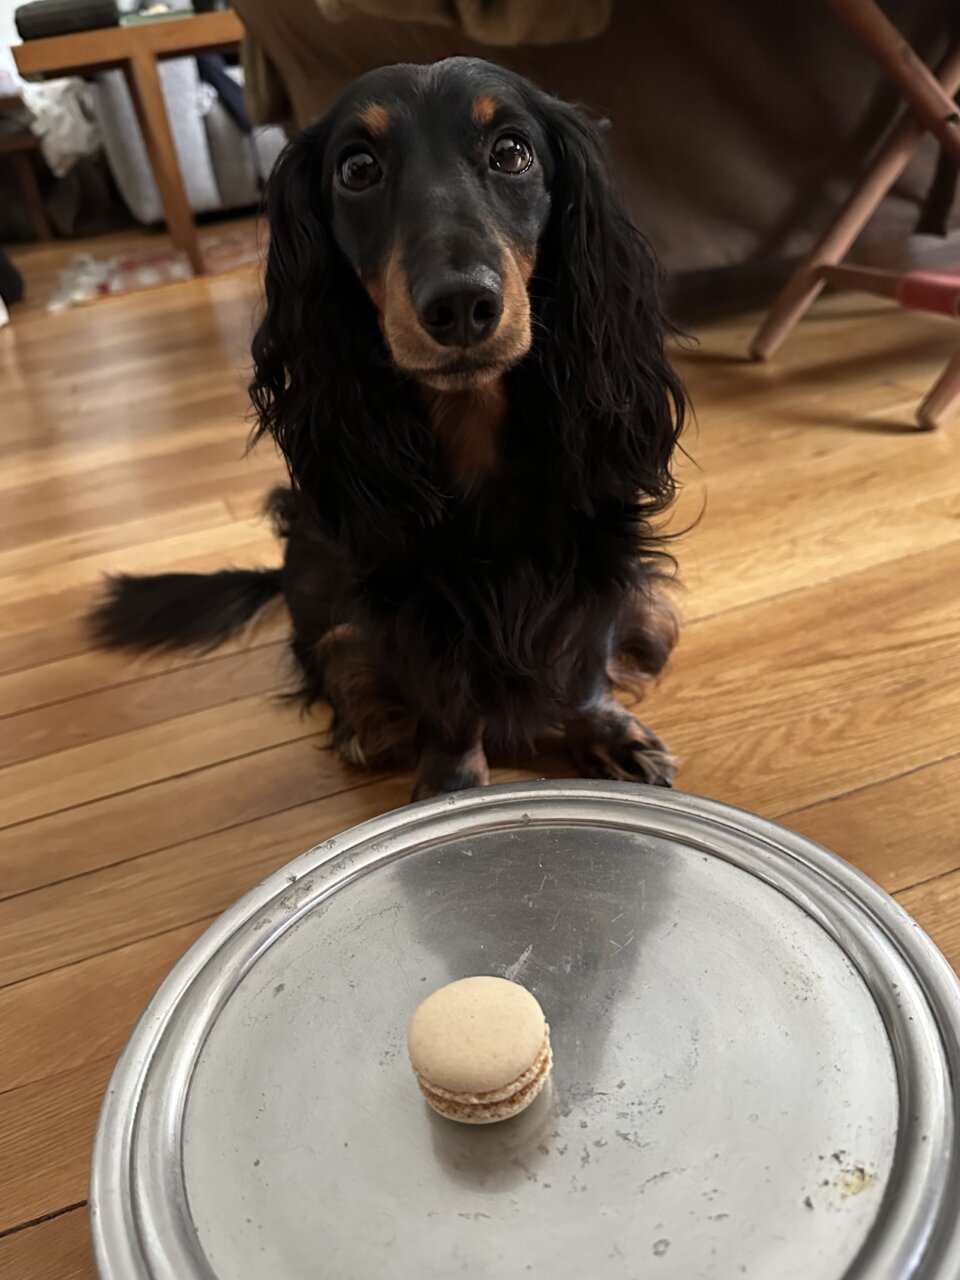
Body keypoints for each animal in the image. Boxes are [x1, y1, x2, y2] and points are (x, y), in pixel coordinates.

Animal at [94, 62, 686, 798]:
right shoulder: (405, 600)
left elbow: (583, 667)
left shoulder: (594, 557)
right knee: (332, 650)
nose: (460, 305)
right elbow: (443, 699)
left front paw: (604, 733)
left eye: (512, 152)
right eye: (357, 168)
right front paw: (451, 784)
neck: (474, 434)